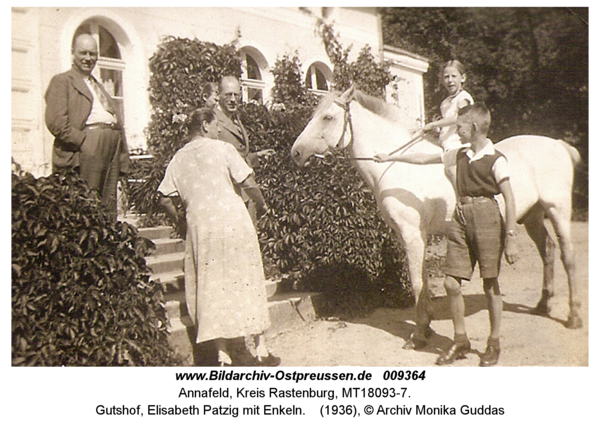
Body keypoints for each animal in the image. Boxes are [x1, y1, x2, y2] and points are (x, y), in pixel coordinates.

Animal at [290, 87, 580, 350]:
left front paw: (418, 334)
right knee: (547, 251)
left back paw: (573, 316)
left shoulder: (412, 235)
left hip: (558, 210)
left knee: (567, 256)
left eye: (327, 117)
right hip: (533, 216)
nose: (296, 153)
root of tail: (558, 144)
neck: (397, 167)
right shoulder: (409, 235)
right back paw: (542, 305)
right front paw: (426, 325)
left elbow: (417, 282)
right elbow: (422, 279)